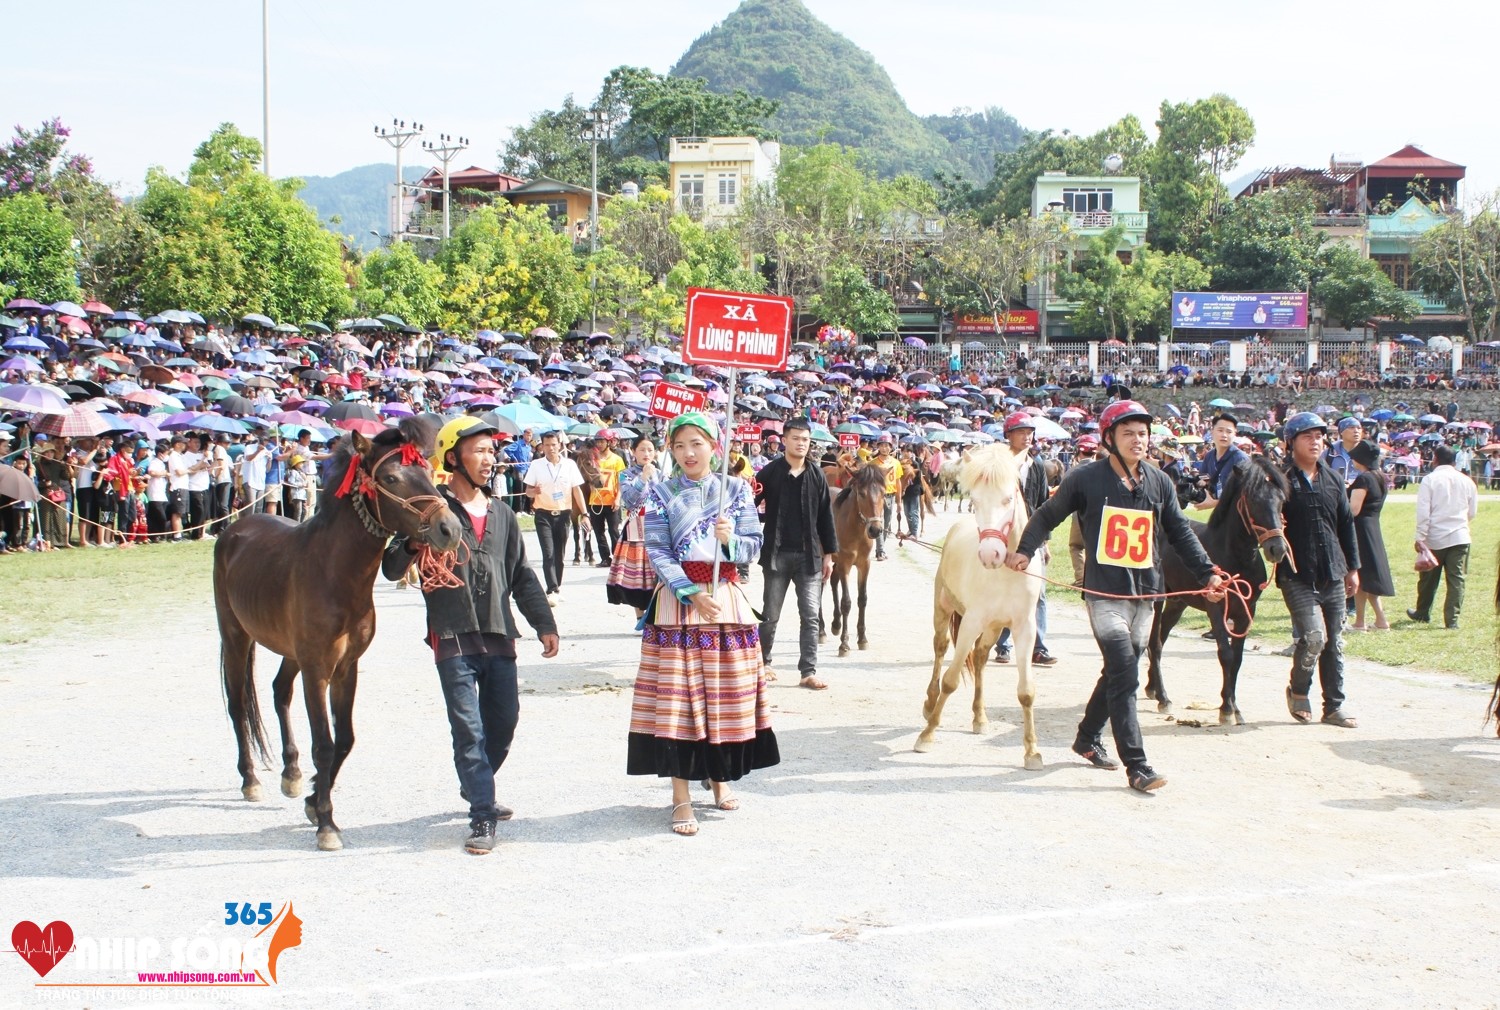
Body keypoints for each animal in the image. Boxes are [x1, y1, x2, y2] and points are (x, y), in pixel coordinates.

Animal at [210, 417, 456, 852]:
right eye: (391, 477)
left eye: (428, 471)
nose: (449, 528)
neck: (334, 572)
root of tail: (235, 528)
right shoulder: (317, 668)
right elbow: (324, 744)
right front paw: (326, 822)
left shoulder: (345, 667)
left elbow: (345, 739)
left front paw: (312, 799)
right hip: (237, 635)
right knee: (239, 705)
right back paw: (250, 779)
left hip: (290, 652)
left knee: (279, 692)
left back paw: (290, 774)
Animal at [828, 462, 882, 654]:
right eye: (862, 493)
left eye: (883, 493)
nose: (875, 530)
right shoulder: (845, 564)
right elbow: (846, 602)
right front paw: (844, 643)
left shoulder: (864, 564)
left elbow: (862, 599)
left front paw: (862, 638)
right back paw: (821, 630)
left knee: (832, 582)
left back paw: (835, 624)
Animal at [912, 441, 1044, 765]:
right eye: (974, 498)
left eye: (1008, 498)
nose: (989, 554)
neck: (1007, 573)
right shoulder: (971, 622)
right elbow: (950, 680)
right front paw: (927, 735)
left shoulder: (1024, 629)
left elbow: (1026, 691)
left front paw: (1031, 751)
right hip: (943, 610)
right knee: (940, 650)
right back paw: (930, 703)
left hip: (995, 628)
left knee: (982, 657)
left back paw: (980, 717)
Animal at [1146, 456, 1290, 726]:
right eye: (1253, 500)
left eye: (1281, 500)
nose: (1277, 548)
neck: (1236, 559)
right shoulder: (1216, 608)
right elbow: (1226, 654)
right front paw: (1226, 709)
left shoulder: (1246, 611)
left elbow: (1238, 660)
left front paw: (1234, 707)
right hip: (1159, 600)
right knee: (1155, 644)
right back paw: (1162, 697)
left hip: (1178, 603)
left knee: (1160, 639)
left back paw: (1151, 688)